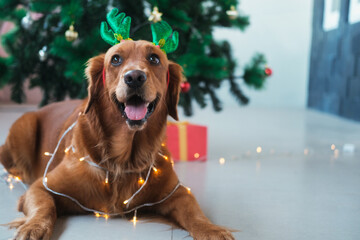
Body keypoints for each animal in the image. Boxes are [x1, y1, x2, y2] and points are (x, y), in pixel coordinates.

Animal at [0, 40, 235, 239]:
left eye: (154, 58)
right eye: (115, 59)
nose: (134, 77)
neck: (123, 160)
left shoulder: (177, 192)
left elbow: (194, 213)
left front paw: (213, 230)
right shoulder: (42, 186)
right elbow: (45, 206)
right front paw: (34, 227)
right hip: (25, 125)